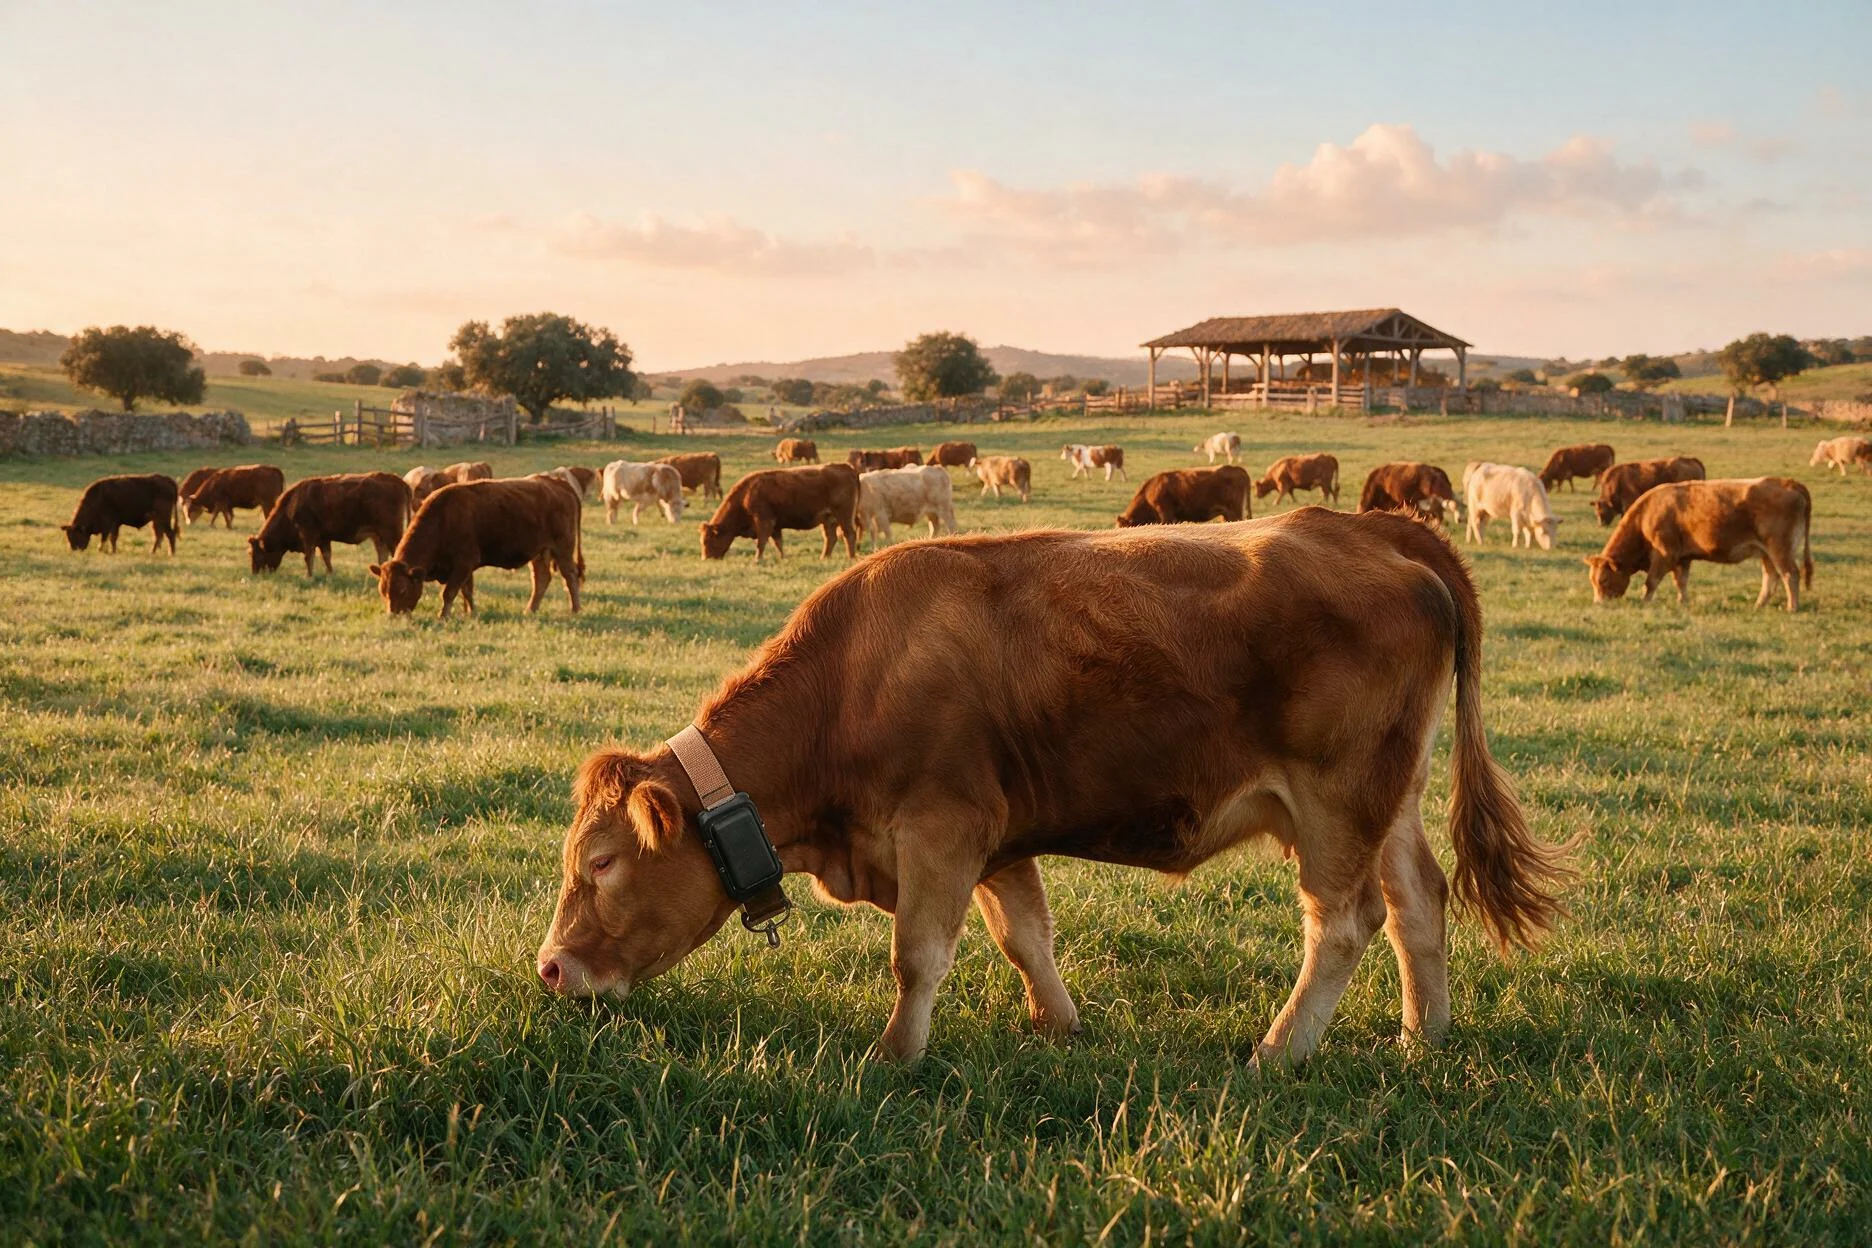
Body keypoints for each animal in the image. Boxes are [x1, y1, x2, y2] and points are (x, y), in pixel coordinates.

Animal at [248, 472, 411, 576]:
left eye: (255, 554)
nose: (255, 574)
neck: (292, 505)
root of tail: (395, 479)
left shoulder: (308, 535)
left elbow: (309, 556)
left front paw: (309, 576)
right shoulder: (323, 539)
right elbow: (326, 556)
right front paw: (330, 574)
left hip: (391, 533)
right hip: (379, 536)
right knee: (382, 555)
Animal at [369, 477, 584, 618]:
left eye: (403, 590)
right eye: (383, 590)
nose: (393, 615)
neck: (443, 518)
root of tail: (559, 483)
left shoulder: (464, 563)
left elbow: (449, 592)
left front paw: (443, 616)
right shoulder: (465, 567)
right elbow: (467, 591)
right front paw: (470, 612)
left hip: (562, 548)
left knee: (570, 577)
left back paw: (575, 610)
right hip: (539, 552)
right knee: (541, 579)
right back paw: (530, 610)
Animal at [535, 508, 1571, 1066]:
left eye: (603, 861)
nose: (549, 969)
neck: (852, 676)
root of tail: (1372, 528)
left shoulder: (941, 827)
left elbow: (920, 956)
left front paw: (894, 1055)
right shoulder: (996, 835)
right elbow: (1024, 936)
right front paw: (1060, 1026)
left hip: (1337, 800)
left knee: (1345, 924)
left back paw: (1278, 1050)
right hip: (1387, 799)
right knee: (1419, 903)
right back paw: (1421, 1039)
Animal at [700, 464, 860, 561]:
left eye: (708, 540)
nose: (706, 558)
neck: (746, 494)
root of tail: (846, 467)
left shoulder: (764, 521)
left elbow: (761, 542)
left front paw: (757, 560)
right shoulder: (775, 526)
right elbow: (778, 543)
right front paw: (783, 557)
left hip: (843, 515)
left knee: (849, 534)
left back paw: (851, 557)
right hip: (827, 519)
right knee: (830, 537)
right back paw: (824, 557)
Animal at [1584, 477, 1812, 612]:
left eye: (1603, 580)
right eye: (1592, 580)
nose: (1598, 604)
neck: (1646, 516)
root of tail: (1789, 483)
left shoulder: (1664, 554)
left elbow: (1651, 581)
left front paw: (1645, 602)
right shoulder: (1682, 558)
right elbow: (1681, 581)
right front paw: (1682, 602)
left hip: (1779, 549)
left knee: (1790, 575)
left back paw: (1792, 607)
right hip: (1766, 553)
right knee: (1771, 578)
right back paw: (1758, 605)